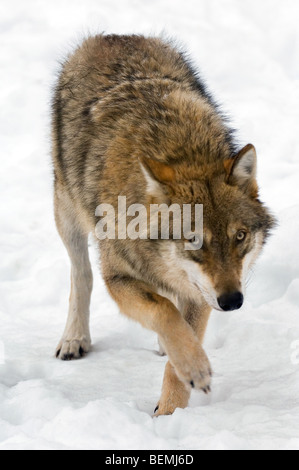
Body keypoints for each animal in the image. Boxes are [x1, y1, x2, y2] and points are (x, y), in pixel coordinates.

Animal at [51, 34, 276, 414]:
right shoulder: (119, 277)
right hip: (67, 213)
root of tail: (113, 36)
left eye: (240, 237)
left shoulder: (200, 291)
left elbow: (176, 330)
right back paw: (74, 338)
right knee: (81, 273)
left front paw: (171, 410)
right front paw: (192, 374)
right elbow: (164, 312)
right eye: (194, 240)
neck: (184, 151)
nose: (233, 301)